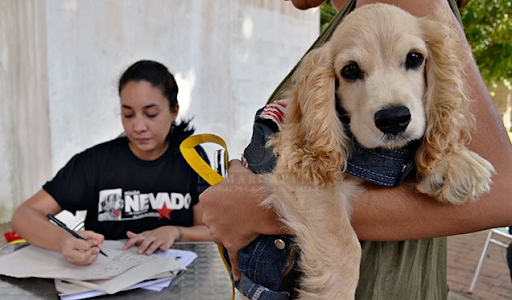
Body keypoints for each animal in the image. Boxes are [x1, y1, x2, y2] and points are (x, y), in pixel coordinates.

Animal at [262, 2, 494, 300]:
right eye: (350, 70)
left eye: (415, 58)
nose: (394, 119)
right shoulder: (299, 177)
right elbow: (346, 247)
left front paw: (456, 163)